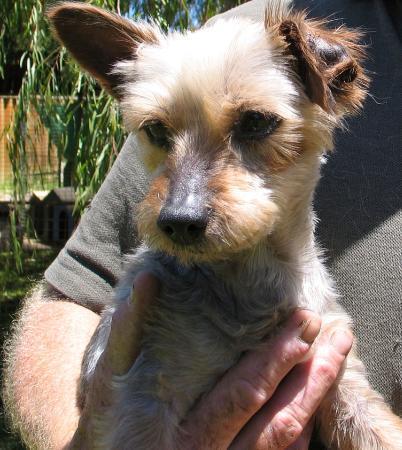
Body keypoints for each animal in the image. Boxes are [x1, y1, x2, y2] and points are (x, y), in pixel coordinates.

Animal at [49, 1, 402, 448]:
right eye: (155, 130)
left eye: (256, 121)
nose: (179, 221)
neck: (250, 272)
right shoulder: (140, 401)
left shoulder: (340, 375)